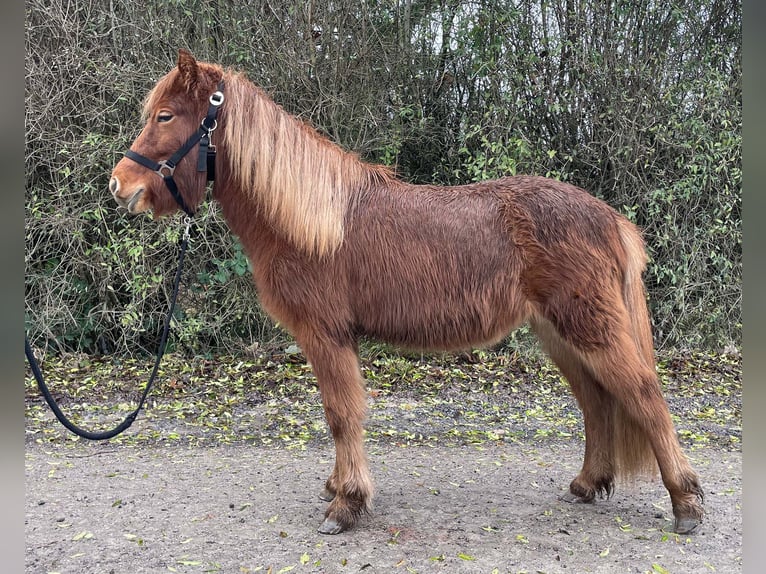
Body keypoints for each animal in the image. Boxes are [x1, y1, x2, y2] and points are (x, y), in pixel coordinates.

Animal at [111, 48, 704, 536]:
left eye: (166, 116)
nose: (120, 185)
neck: (312, 219)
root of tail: (609, 218)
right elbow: (341, 414)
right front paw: (339, 488)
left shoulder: (326, 335)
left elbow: (341, 414)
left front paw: (346, 505)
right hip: (559, 333)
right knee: (597, 401)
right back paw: (588, 484)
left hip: (589, 327)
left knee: (644, 396)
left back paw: (686, 504)